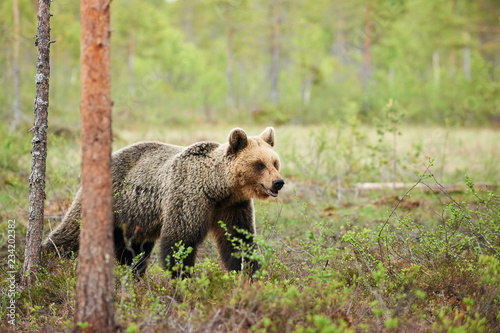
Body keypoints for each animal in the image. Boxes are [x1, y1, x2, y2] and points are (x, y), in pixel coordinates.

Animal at [42, 127, 284, 278]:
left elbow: (238, 241)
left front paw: (249, 274)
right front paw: (183, 279)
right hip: (114, 198)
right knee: (72, 232)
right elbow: (180, 239)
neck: (217, 188)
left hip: (137, 217)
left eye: (275, 162)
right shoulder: (189, 196)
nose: (278, 182)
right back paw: (46, 260)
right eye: (259, 164)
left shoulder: (233, 206)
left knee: (133, 252)